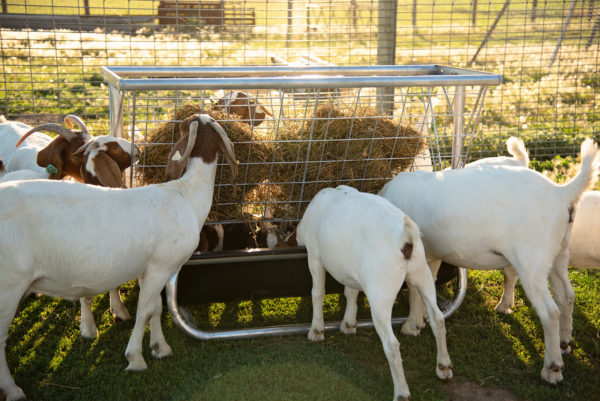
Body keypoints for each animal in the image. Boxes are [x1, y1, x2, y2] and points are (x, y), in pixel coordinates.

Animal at [0, 112, 238, 400]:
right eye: (185, 125)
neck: (186, 195)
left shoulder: (151, 269)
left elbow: (156, 308)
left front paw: (160, 348)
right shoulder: (160, 267)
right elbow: (144, 310)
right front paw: (135, 358)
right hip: (9, 285)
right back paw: (13, 390)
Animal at [296, 186, 450, 398]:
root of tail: (406, 237)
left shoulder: (315, 255)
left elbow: (317, 292)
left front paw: (317, 331)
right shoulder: (352, 271)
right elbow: (351, 292)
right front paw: (349, 324)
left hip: (381, 292)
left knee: (392, 344)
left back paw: (401, 392)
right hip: (422, 273)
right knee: (438, 320)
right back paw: (443, 367)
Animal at [380, 138, 600, 384]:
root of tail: (560, 193)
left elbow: (412, 288)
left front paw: (411, 325)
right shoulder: (430, 255)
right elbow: (421, 288)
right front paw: (418, 321)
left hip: (532, 260)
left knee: (550, 312)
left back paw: (552, 369)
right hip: (559, 253)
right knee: (567, 296)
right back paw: (564, 343)